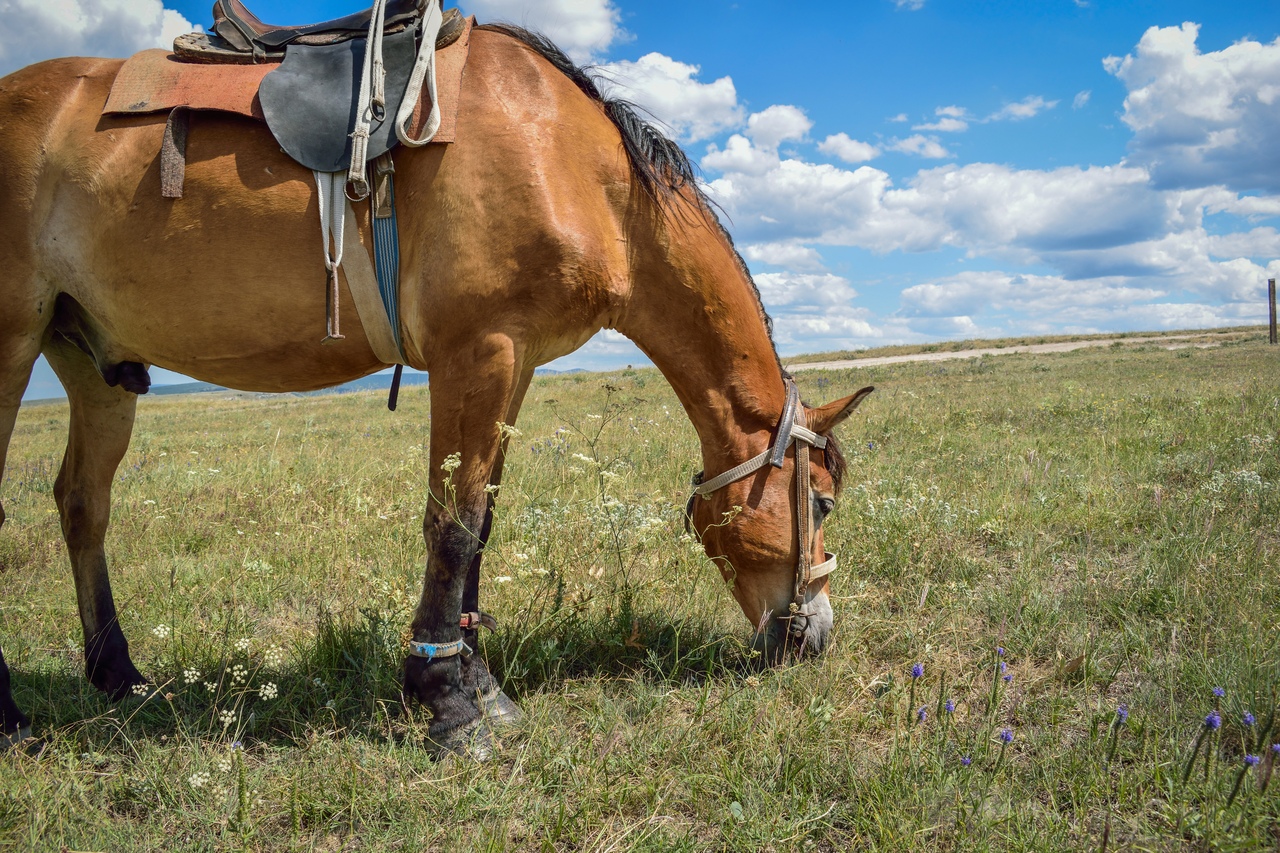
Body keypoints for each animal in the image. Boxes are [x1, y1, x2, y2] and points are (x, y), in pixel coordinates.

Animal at [0, 23, 875, 753]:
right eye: (821, 501)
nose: (815, 636)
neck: (577, 166)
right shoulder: (477, 351)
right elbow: (451, 526)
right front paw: (448, 699)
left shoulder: (516, 360)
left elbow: (481, 521)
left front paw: (476, 680)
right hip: (10, 344)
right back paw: (12, 716)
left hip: (94, 364)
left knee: (83, 503)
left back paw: (119, 676)